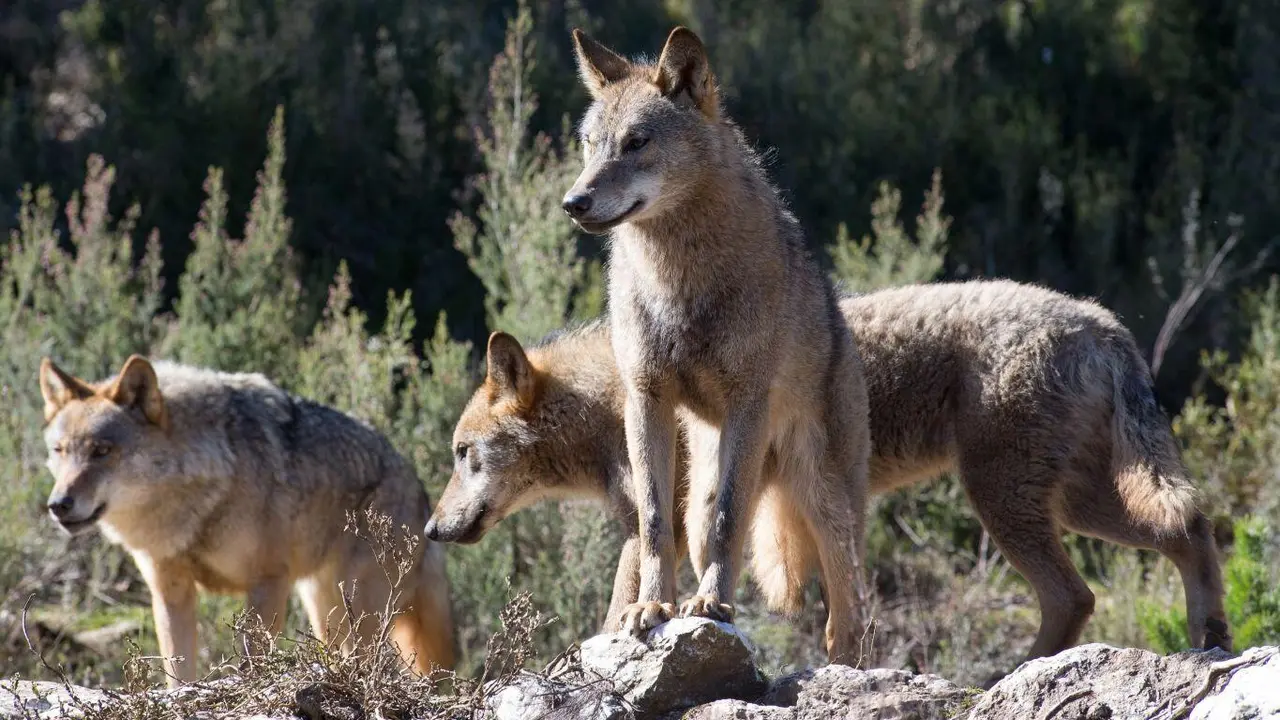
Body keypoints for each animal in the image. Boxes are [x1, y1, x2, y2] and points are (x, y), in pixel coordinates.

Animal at [39, 355, 456, 686]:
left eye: (102, 451)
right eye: (59, 451)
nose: (58, 504)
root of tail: (420, 490)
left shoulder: (267, 583)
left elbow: (254, 664)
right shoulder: (171, 592)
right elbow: (179, 672)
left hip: (359, 615)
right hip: (326, 614)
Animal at [427, 280, 1230, 667]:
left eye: (464, 456)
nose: (431, 529)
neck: (612, 400)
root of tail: (1104, 322)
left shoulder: (660, 530)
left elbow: (619, 609)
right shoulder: (659, 529)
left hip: (1009, 503)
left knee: (1076, 593)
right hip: (1077, 504)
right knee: (1188, 529)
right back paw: (1210, 636)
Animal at [559, 25, 873, 662]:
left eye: (636, 142)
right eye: (590, 144)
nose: (573, 203)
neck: (678, 281)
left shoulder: (747, 400)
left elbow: (732, 520)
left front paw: (710, 606)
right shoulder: (645, 400)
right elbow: (654, 524)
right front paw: (650, 608)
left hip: (826, 503)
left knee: (847, 617)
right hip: (707, 485)